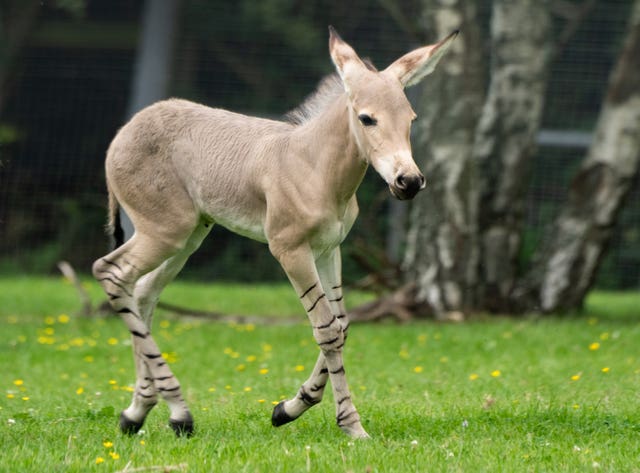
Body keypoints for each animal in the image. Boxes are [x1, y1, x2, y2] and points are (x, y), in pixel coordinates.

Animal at [92, 27, 458, 436]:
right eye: (367, 119)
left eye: (411, 118)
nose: (408, 182)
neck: (315, 168)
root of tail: (127, 129)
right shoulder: (290, 250)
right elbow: (326, 329)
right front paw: (350, 425)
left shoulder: (329, 250)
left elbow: (343, 325)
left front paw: (289, 407)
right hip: (164, 231)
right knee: (110, 272)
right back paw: (179, 413)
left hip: (187, 238)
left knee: (141, 291)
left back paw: (139, 411)